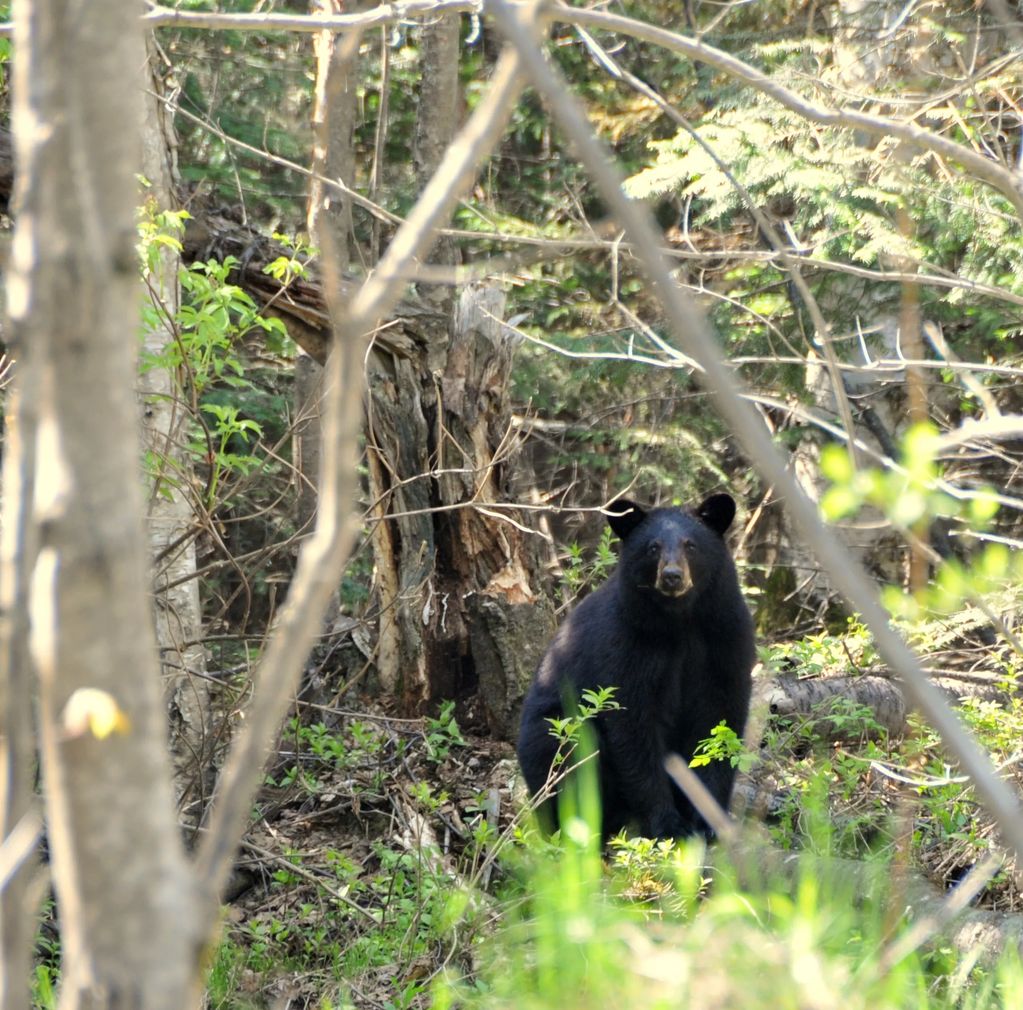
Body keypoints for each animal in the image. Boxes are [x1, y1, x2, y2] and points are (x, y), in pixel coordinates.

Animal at [516, 493, 756, 842]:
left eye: (691, 545)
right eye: (652, 547)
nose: (672, 576)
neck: (680, 622)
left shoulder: (725, 635)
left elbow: (720, 720)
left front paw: (708, 819)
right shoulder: (626, 643)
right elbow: (634, 727)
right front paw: (669, 824)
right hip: (553, 732)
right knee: (570, 755)